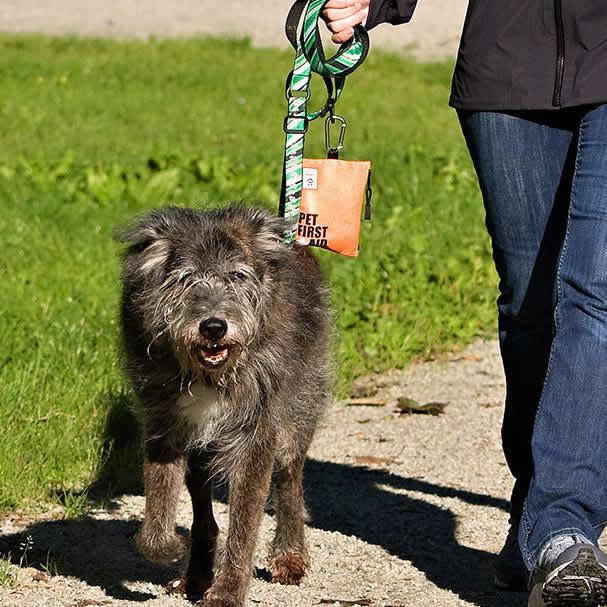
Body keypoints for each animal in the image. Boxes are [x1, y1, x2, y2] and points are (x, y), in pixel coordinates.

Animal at [117, 205, 332, 607]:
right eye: (186, 279)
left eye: (237, 276)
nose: (213, 326)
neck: (210, 376)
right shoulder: (165, 427)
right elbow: (158, 503)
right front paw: (168, 545)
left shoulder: (256, 436)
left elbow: (244, 524)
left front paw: (229, 591)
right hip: (202, 454)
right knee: (204, 515)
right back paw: (198, 574)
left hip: (299, 410)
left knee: (290, 477)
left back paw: (289, 553)